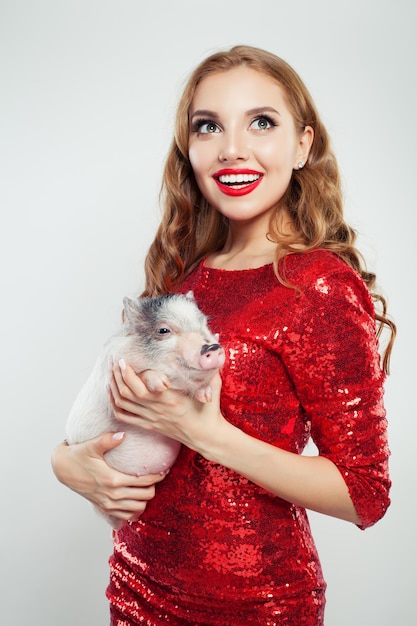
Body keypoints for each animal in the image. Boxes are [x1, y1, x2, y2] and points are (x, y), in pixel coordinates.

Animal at [64, 292, 224, 528]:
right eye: (163, 330)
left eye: (202, 322)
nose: (212, 348)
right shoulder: (113, 371)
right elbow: (145, 374)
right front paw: (160, 384)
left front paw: (206, 396)